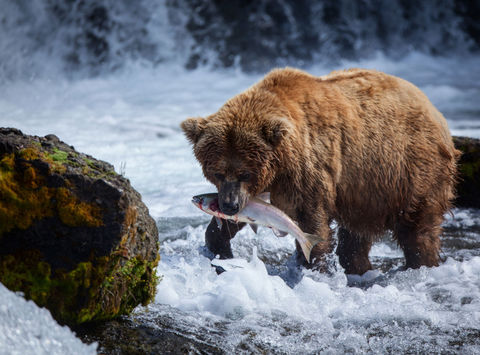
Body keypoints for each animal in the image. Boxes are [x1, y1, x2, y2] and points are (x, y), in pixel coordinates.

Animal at [182, 68, 460, 276]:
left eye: (245, 173)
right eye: (217, 172)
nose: (229, 206)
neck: (281, 164)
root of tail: (433, 108)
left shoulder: (308, 168)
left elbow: (309, 219)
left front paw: (313, 268)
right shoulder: (264, 188)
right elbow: (245, 217)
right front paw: (220, 251)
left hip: (408, 169)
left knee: (418, 228)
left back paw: (423, 263)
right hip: (365, 188)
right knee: (357, 233)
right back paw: (358, 267)